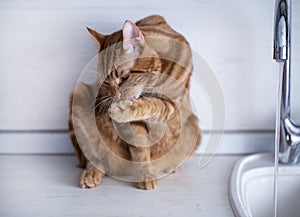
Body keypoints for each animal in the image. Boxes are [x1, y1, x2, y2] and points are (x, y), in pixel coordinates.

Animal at [69, 14, 202, 189]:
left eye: (124, 77)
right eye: (105, 83)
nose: (116, 97)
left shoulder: (172, 107)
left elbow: (154, 105)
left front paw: (124, 109)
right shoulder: (133, 125)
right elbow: (139, 148)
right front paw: (145, 174)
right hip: (79, 94)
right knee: (94, 157)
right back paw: (92, 173)